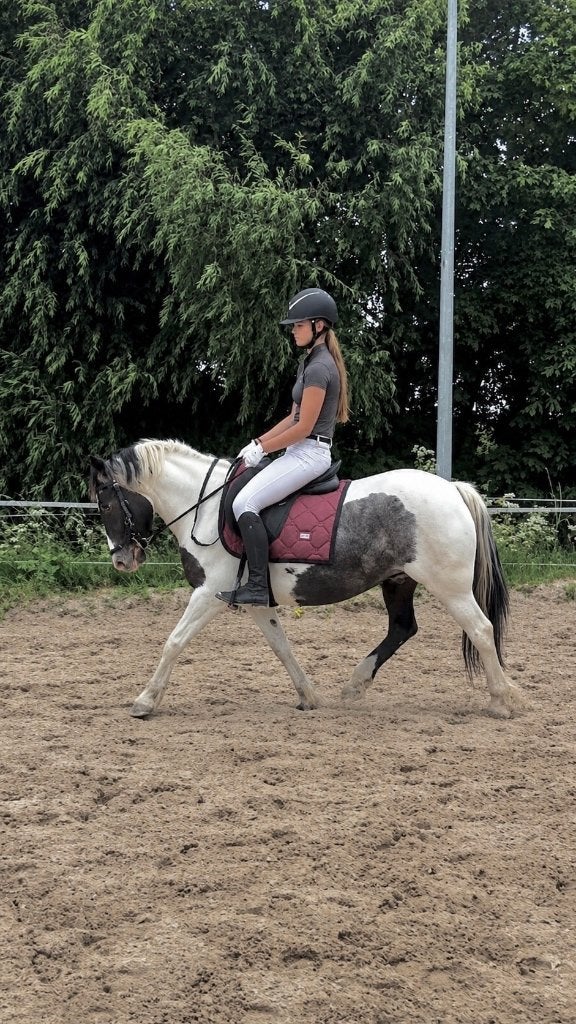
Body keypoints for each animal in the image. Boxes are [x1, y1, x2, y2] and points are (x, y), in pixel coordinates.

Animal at [89, 439, 521, 720]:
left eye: (106, 504)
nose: (122, 560)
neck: (206, 507)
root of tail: (453, 488)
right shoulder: (253, 600)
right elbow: (281, 647)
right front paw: (309, 696)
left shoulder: (208, 593)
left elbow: (174, 642)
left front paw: (145, 701)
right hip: (398, 581)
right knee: (402, 628)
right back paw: (355, 685)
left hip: (450, 588)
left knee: (481, 630)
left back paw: (501, 701)